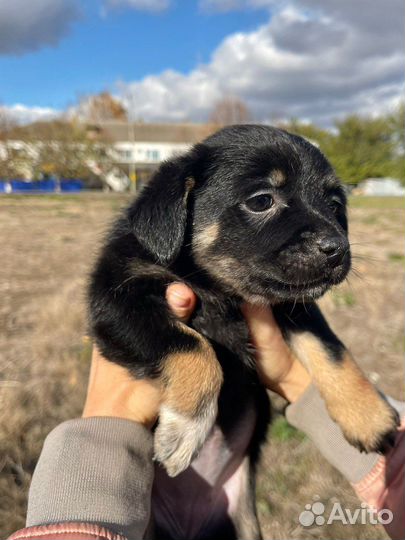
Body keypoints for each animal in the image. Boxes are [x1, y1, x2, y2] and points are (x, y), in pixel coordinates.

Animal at [89, 125, 398, 540]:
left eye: (335, 206)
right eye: (261, 201)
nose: (337, 249)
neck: (222, 290)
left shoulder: (294, 304)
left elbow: (329, 348)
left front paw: (369, 416)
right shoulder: (116, 301)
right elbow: (192, 346)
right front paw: (186, 427)